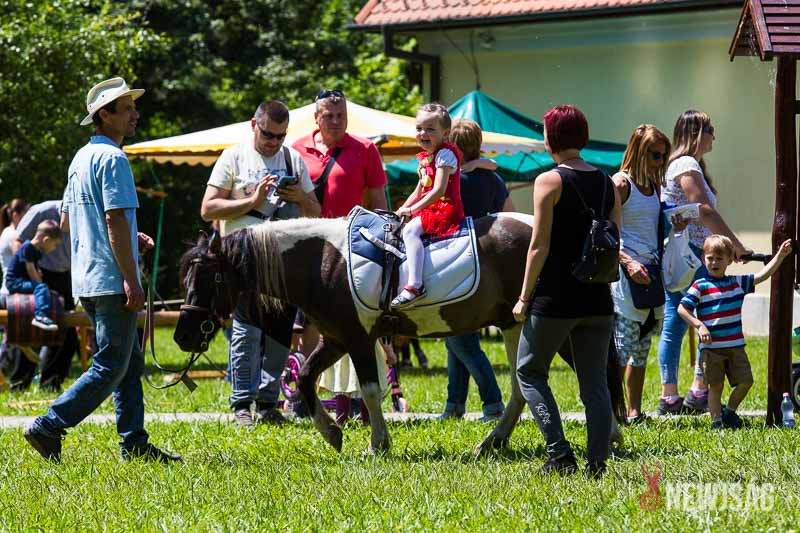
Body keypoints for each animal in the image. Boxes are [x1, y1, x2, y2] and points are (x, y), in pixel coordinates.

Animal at [174, 213, 625, 455]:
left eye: (209, 277)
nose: (182, 337)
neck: (325, 261)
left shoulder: (358, 339)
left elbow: (372, 391)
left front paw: (377, 443)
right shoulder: (336, 339)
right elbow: (304, 379)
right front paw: (333, 433)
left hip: (546, 326)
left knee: (586, 380)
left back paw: (609, 436)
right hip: (517, 326)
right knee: (523, 388)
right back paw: (490, 444)